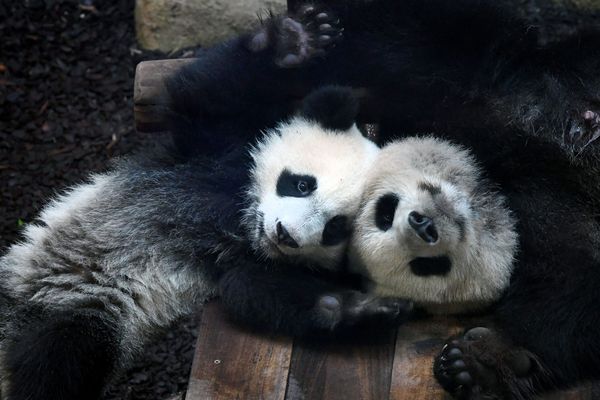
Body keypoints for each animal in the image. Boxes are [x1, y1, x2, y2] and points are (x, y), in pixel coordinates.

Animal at [0, 86, 408, 400]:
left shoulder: (239, 261)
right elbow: (206, 97)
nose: (284, 234)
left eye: (335, 228)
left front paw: (360, 309)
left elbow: (250, 291)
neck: (239, 222)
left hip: (96, 308)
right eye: (302, 184)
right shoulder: (202, 155)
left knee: (63, 355)